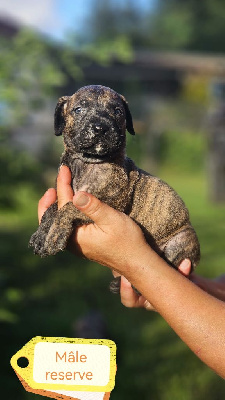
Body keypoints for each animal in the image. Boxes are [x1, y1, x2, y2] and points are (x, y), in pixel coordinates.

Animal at [29, 84, 200, 294]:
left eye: (118, 111)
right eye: (78, 110)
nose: (100, 127)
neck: (87, 163)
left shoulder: (112, 201)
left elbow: (68, 208)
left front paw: (54, 236)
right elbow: (53, 208)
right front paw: (41, 234)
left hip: (180, 241)